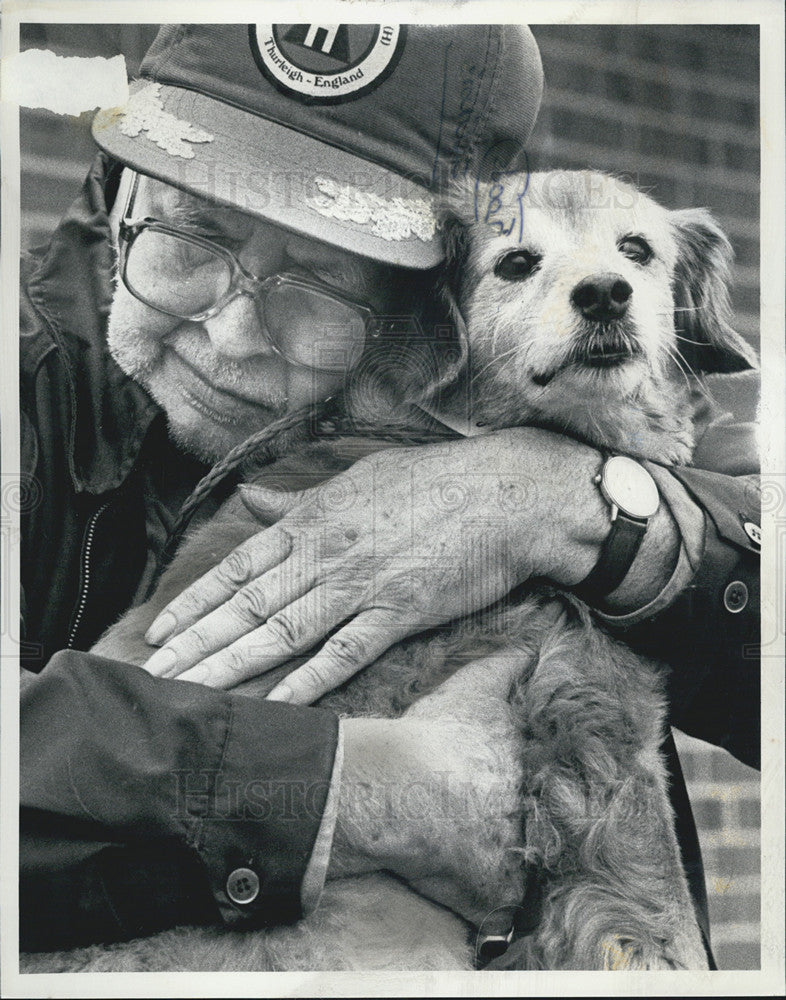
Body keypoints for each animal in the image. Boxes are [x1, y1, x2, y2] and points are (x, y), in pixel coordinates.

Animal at [21, 172, 752, 968]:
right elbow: (657, 913)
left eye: (637, 250)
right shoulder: (600, 736)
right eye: (516, 262)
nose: (604, 294)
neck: (442, 428)